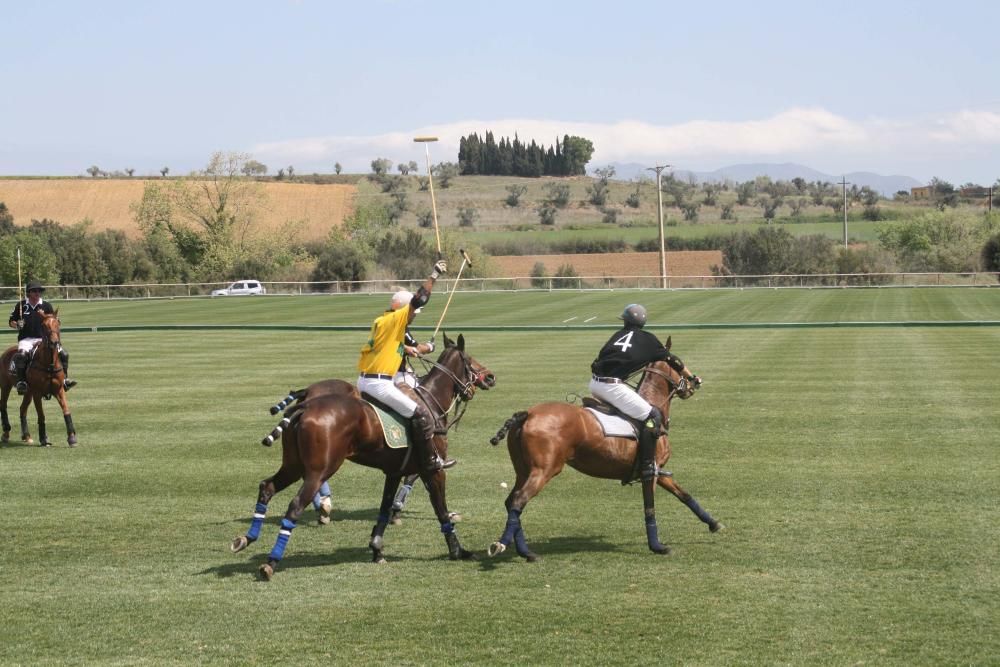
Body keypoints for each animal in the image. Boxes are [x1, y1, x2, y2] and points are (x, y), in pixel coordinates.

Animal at [0, 312, 77, 448]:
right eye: (44, 325)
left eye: (57, 323)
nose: (54, 342)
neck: (49, 363)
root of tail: (6, 352)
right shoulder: (37, 392)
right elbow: (41, 415)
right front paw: (44, 439)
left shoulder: (59, 390)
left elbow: (66, 410)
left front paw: (72, 438)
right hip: (5, 385)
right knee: (3, 405)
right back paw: (6, 433)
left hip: (28, 391)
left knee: (22, 409)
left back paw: (26, 436)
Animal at [235, 334, 500, 580]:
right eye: (470, 360)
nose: (490, 377)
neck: (430, 402)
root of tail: (305, 404)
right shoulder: (432, 469)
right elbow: (440, 509)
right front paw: (458, 550)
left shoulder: (394, 471)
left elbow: (384, 508)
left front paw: (377, 549)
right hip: (321, 468)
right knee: (296, 505)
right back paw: (272, 560)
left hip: (294, 464)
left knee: (267, 486)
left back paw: (247, 538)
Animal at [484, 336, 720, 560]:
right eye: (678, 363)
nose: (695, 382)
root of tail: (527, 414)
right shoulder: (650, 472)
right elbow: (650, 507)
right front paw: (657, 546)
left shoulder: (658, 470)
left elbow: (684, 494)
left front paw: (714, 523)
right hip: (545, 470)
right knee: (518, 500)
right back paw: (503, 545)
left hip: (523, 470)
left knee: (511, 501)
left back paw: (526, 552)